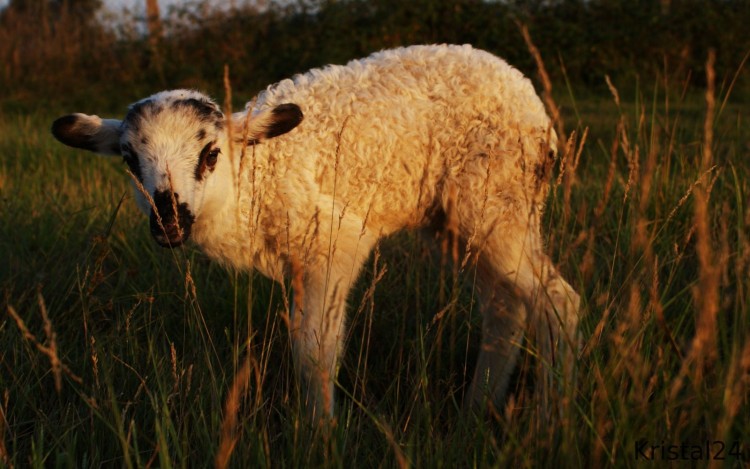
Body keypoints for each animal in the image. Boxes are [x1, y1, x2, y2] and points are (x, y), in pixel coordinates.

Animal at [51, 43, 580, 416]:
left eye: (210, 154)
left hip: (499, 201)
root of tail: (532, 102)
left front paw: (322, 436)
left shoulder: (331, 245)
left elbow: (314, 353)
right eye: (128, 159)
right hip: (455, 221)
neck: (253, 178)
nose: (170, 222)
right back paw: (477, 410)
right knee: (504, 306)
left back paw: (549, 421)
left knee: (558, 300)